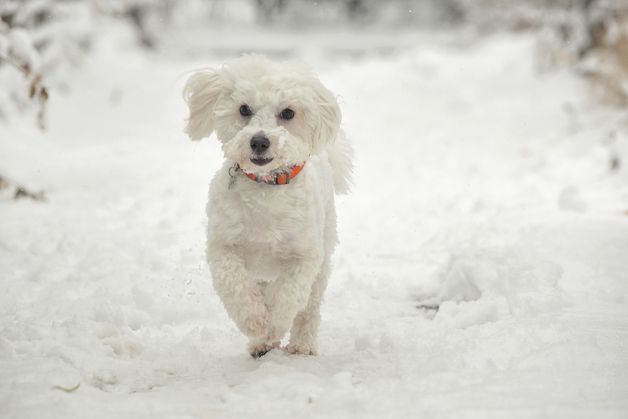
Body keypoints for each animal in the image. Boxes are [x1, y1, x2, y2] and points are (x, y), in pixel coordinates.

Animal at [183, 55, 354, 358]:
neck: (266, 188)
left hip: (323, 254)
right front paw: (256, 323)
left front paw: (273, 325)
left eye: (287, 113)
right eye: (244, 108)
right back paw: (261, 343)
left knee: (309, 307)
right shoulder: (223, 247)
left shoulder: (304, 256)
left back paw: (301, 345)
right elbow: (235, 286)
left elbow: (288, 295)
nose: (259, 141)